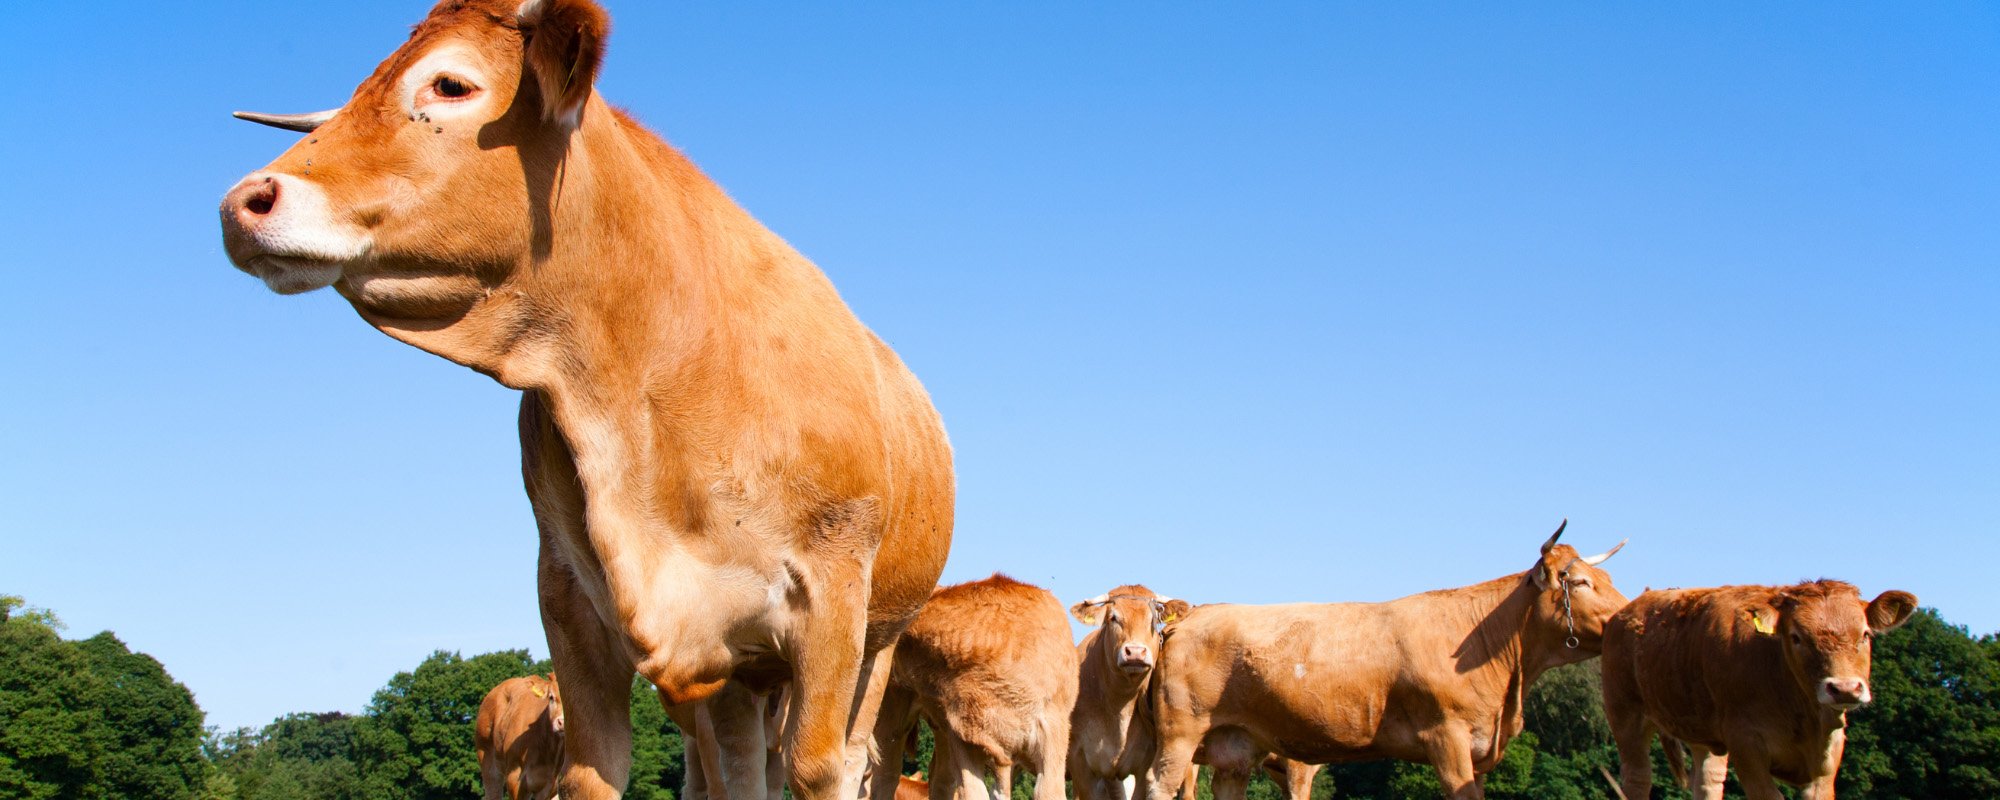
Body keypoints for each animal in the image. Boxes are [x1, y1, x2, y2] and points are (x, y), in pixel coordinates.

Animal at [217, 3, 956, 798]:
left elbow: (817, 767)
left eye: (450, 84)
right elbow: (595, 768)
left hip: (873, 641)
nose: (243, 203)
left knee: (844, 755)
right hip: (739, 672)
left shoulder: (831, 598)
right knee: (737, 764)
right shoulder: (569, 592)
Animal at [870, 575, 1078, 800]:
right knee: (886, 775)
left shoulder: (1053, 730)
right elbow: (973, 792)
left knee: (938, 778)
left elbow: (1048, 792)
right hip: (894, 714)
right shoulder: (961, 735)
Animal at [1145, 522, 1628, 800]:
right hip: (1180, 736)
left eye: (1606, 577)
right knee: (1158, 785)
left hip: (1235, 748)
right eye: (1580, 582)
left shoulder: (1478, 746)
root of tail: (1194, 615)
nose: (1625, 617)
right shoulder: (1446, 737)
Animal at [1601, 580, 1918, 800]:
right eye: (1796, 637)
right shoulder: (1746, 744)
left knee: (1707, 782)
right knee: (1638, 778)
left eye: (1864, 634)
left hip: (1702, 732)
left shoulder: (1828, 757)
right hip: (1625, 714)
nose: (1844, 689)